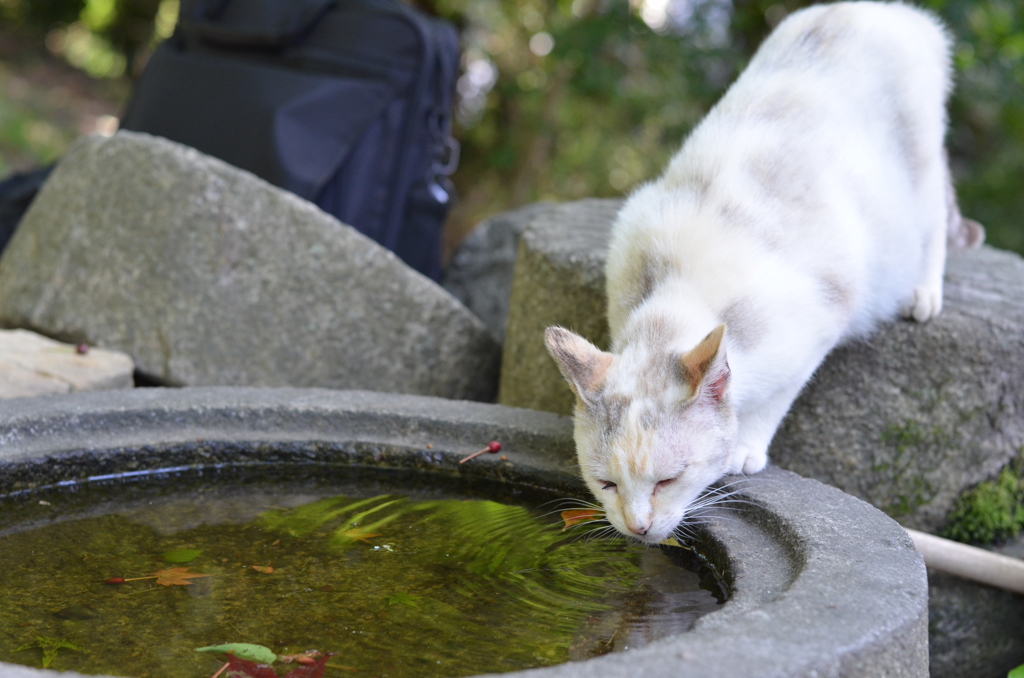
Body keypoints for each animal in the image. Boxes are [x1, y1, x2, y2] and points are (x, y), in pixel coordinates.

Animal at [544, 0, 983, 540]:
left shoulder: (822, 315)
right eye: (605, 483)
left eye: (669, 479)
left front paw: (746, 447)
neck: (679, 292)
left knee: (933, 214)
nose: (638, 527)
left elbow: (775, 397)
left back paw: (923, 289)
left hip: (919, 163)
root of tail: (884, 11)